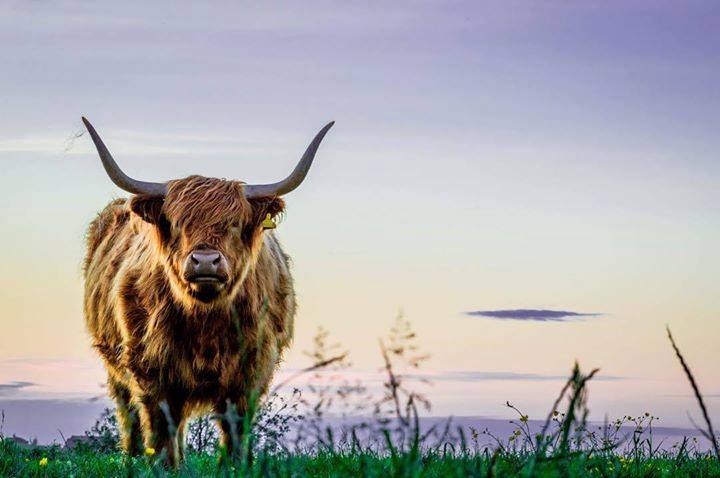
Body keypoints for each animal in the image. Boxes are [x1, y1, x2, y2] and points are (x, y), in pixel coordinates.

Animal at [80, 117, 334, 464]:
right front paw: (162, 466)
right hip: (115, 365)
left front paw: (235, 465)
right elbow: (160, 427)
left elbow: (235, 427)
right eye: (177, 223)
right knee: (129, 414)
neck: (205, 321)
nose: (205, 261)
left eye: (235, 223)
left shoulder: (250, 370)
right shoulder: (151, 368)